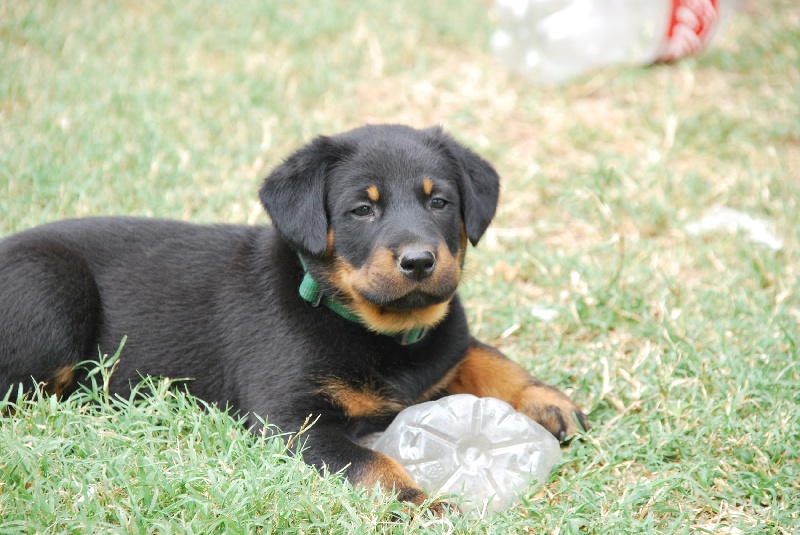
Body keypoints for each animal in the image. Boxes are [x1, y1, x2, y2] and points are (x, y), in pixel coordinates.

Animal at [0, 124, 588, 510]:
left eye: (439, 202)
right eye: (362, 210)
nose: (420, 261)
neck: (378, 329)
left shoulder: (444, 339)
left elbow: (482, 354)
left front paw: (545, 399)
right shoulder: (291, 420)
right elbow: (372, 464)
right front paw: (418, 502)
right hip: (51, 288)